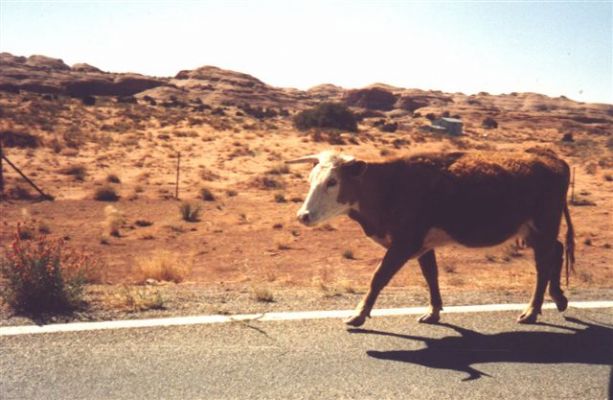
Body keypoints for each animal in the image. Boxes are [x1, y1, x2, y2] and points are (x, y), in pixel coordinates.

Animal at [286, 148, 572, 326]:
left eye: (332, 181)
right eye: (311, 179)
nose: (303, 215)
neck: (390, 186)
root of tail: (553, 159)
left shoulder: (404, 244)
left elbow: (378, 277)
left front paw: (358, 315)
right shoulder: (423, 246)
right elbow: (431, 276)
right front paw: (433, 312)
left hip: (543, 227)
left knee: (543, 266)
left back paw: (532, 311)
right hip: (535, 232)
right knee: (557, 252)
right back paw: (558, 298)